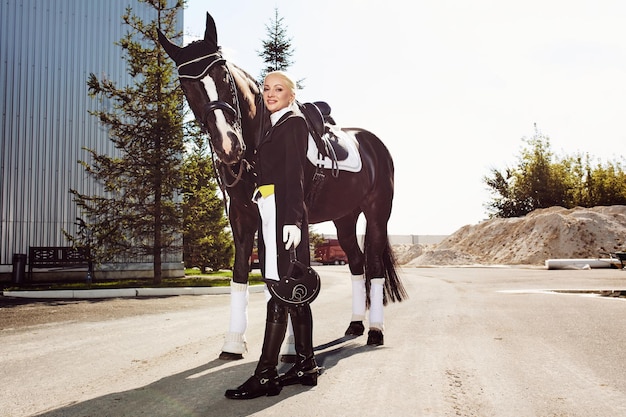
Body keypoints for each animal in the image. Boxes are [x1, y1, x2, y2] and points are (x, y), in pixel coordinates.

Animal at [158, 12, 408, 358]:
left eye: (222, 73)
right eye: (187, 85)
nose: (228, 145)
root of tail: (374, 143)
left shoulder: (293, 215)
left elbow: (291, 270)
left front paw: (290, 348)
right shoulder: (243, 217)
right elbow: (243, 272)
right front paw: (233, 343)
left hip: (377, 214)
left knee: (373, 266)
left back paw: (375, 331)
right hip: (344, 219)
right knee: (357, 264)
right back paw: (355, 324)